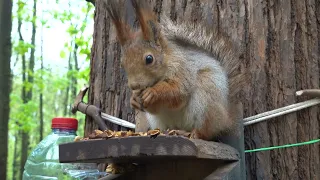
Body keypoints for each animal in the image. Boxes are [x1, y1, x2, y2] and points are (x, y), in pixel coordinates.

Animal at [105, 0, 245, 141]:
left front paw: (153, 92)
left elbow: (177, 91)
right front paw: (133, 99)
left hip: (207, 100)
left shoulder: (183, 69)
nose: (134, 86)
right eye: (122, 63)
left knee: (206, 130)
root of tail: (226, 117)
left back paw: (195, 133)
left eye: (149, 59)